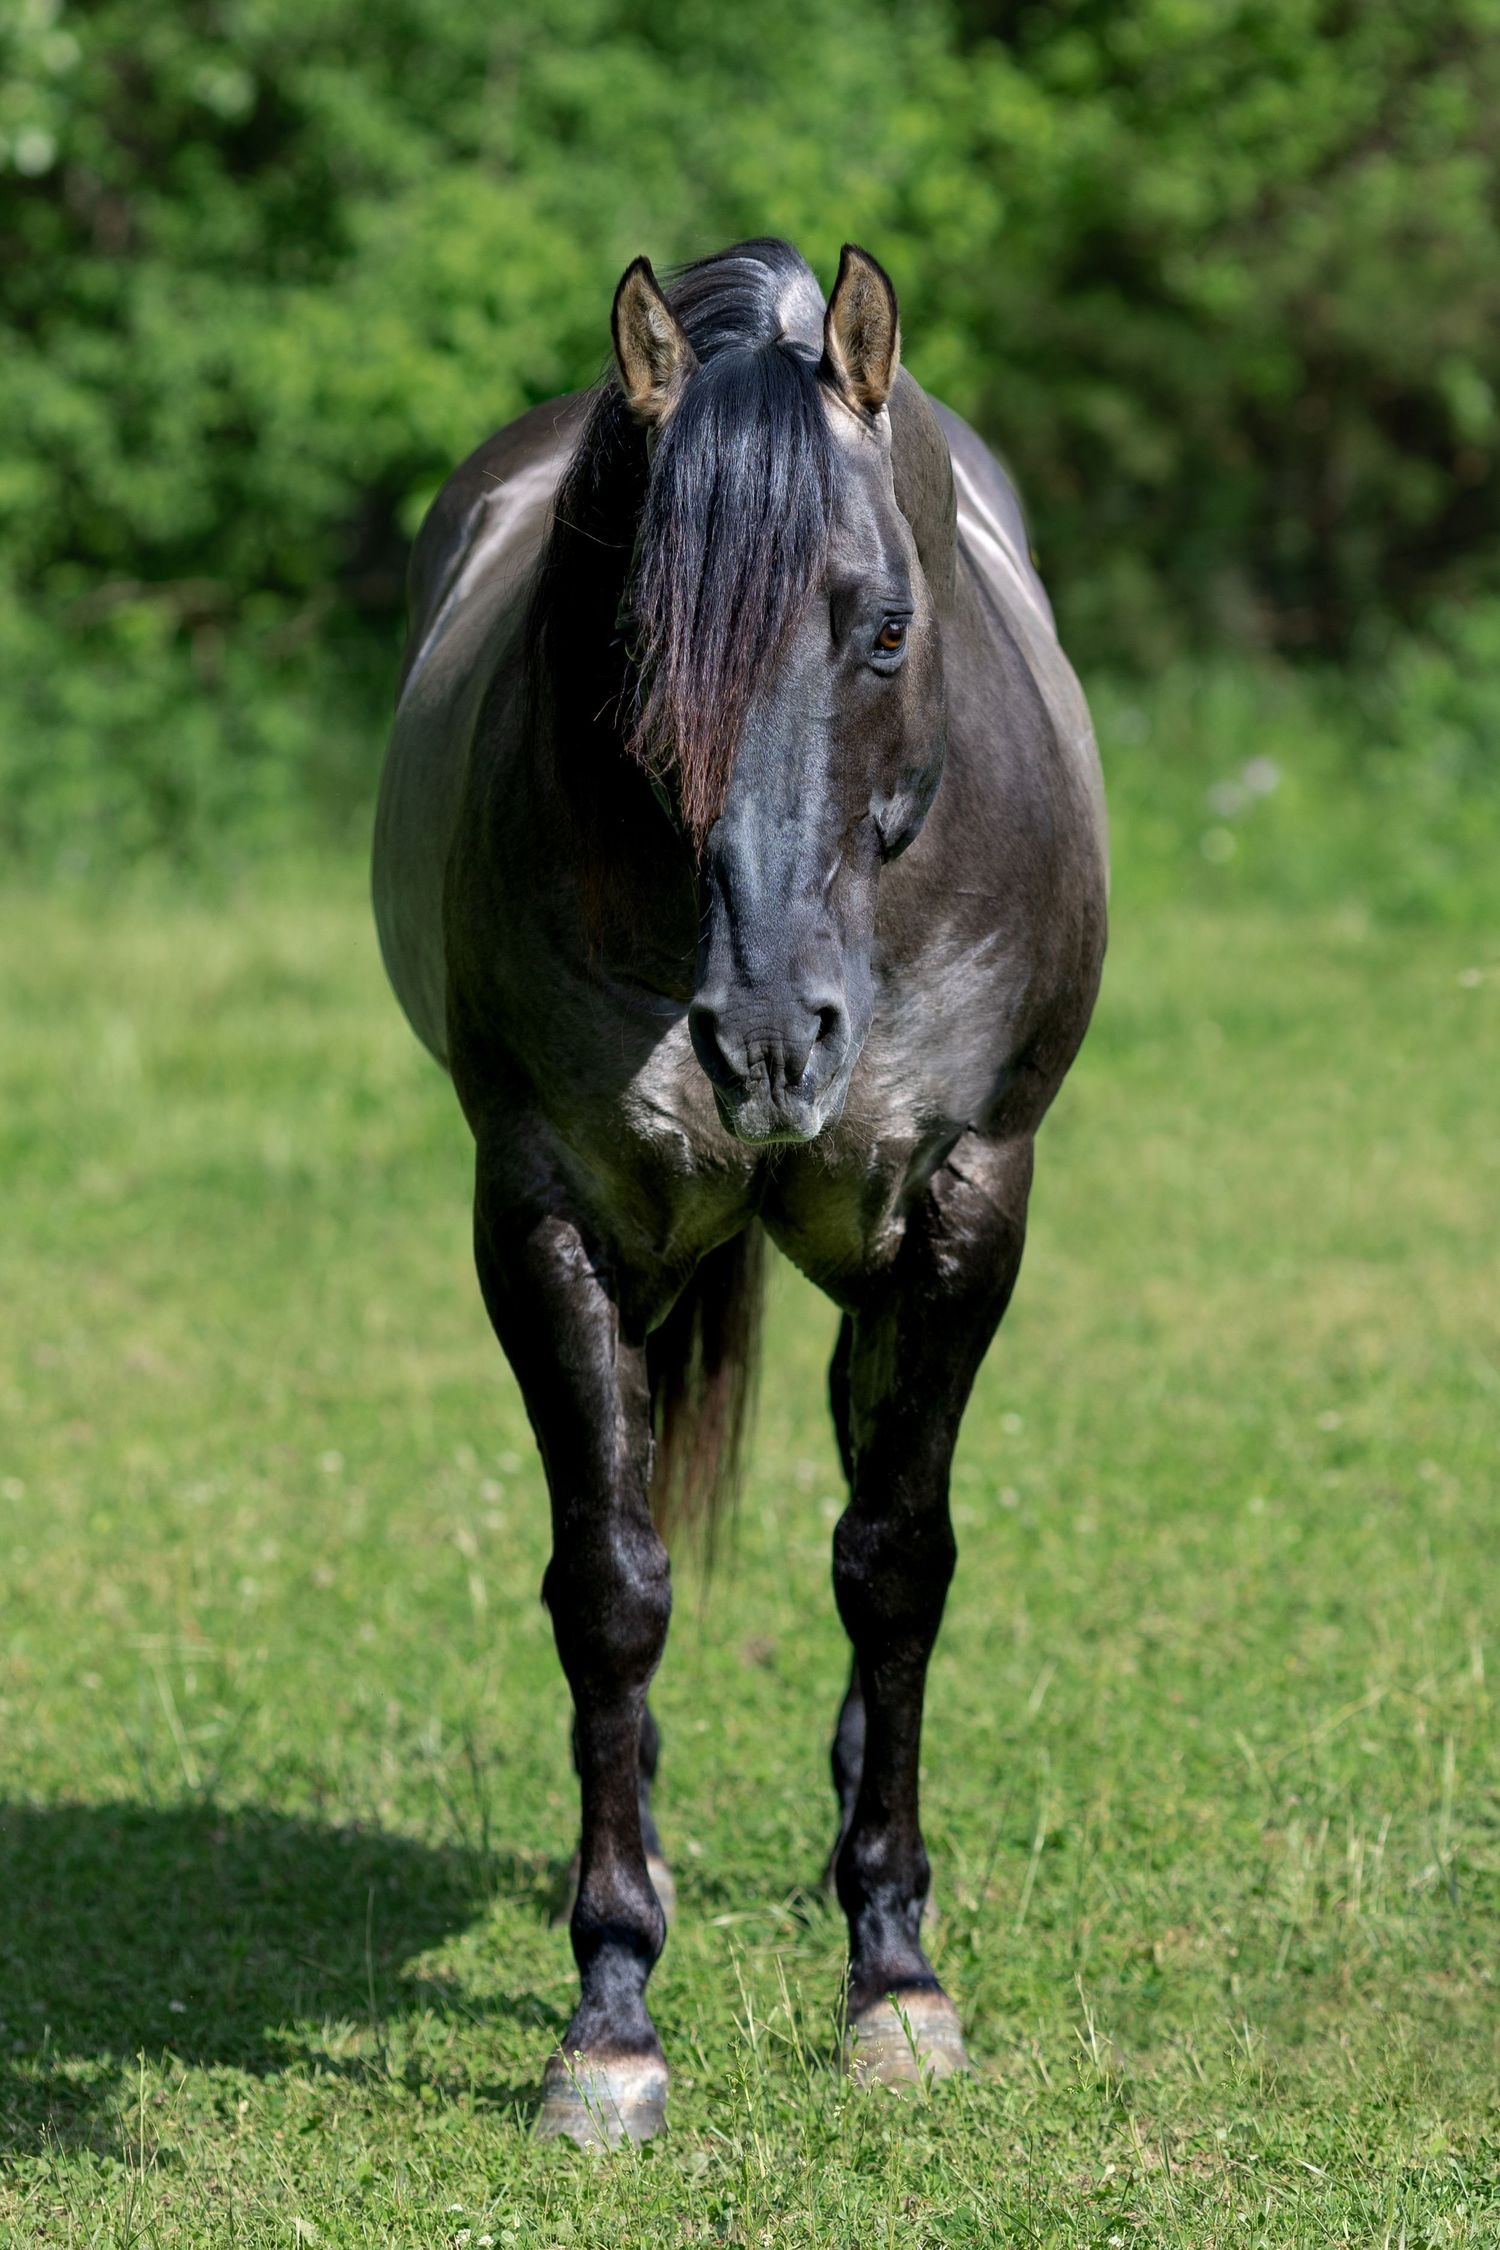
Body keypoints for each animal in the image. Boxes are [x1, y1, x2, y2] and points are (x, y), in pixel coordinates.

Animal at [372, 238, 1107, 2144]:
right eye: (634, 642)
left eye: (886, 630)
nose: (770, 1040)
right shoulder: (543, 1212)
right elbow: (611, 1586)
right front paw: (611, 2013)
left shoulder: (966, 1202)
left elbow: (898, 1562)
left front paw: (898, 1979)